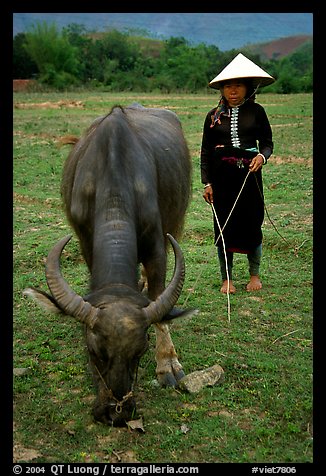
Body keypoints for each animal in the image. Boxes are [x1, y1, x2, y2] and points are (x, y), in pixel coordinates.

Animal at [24, 103, 196, 424]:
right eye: (93, 351)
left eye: (140, 351)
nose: (116, 413)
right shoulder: (84, 240)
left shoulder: (157, 245)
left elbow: (158, 296)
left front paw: (167, 363)